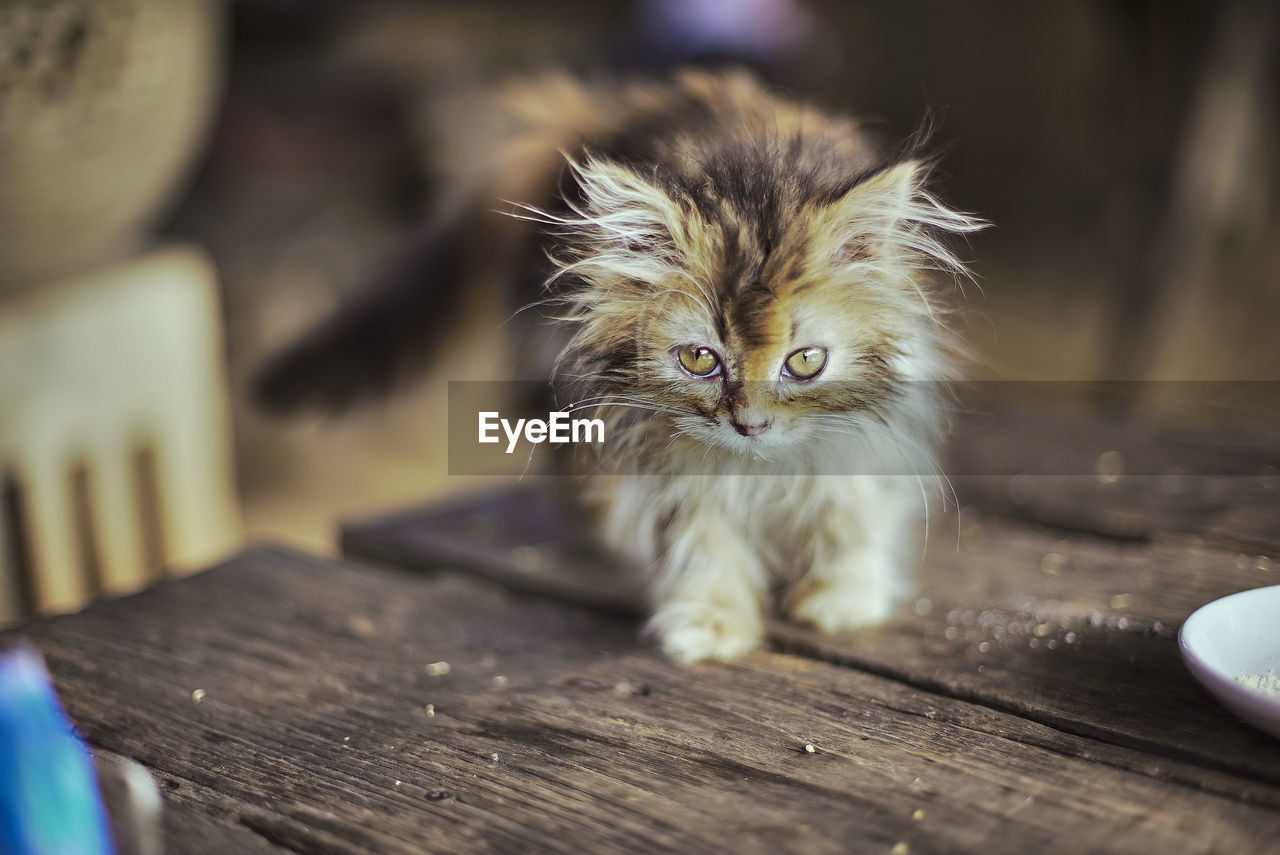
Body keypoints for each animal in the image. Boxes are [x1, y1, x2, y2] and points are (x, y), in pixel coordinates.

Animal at [254, 70, 983, 665]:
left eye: (805, 361)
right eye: (699, 359)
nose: (749, 425)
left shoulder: (871, 425)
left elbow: (853, 507)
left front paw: (843, 596)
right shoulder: (653, 441)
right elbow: (698, 534)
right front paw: (710, 622)